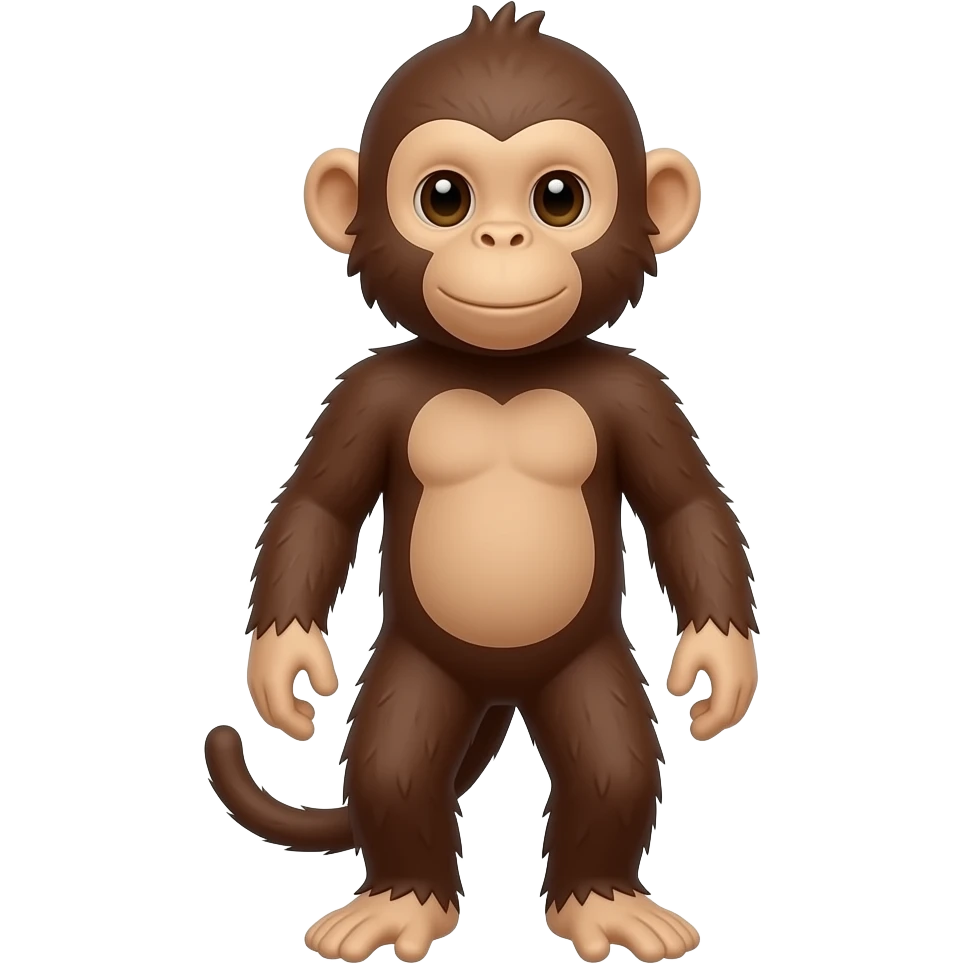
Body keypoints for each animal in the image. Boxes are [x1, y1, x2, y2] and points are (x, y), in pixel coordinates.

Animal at [204, 4, 758, 962]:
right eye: (445, 198)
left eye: (558, 197)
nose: (502, 239)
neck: (502, 373)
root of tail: (503, 690)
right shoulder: (365, 392)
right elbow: (317, 506)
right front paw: (285, 664)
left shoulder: (641, 393)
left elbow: (687, 506)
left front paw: (720, 663)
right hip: (421, 667)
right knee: (394, 761)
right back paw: (404, 900)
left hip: (584, 663)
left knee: (612, 760)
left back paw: (602, 900)